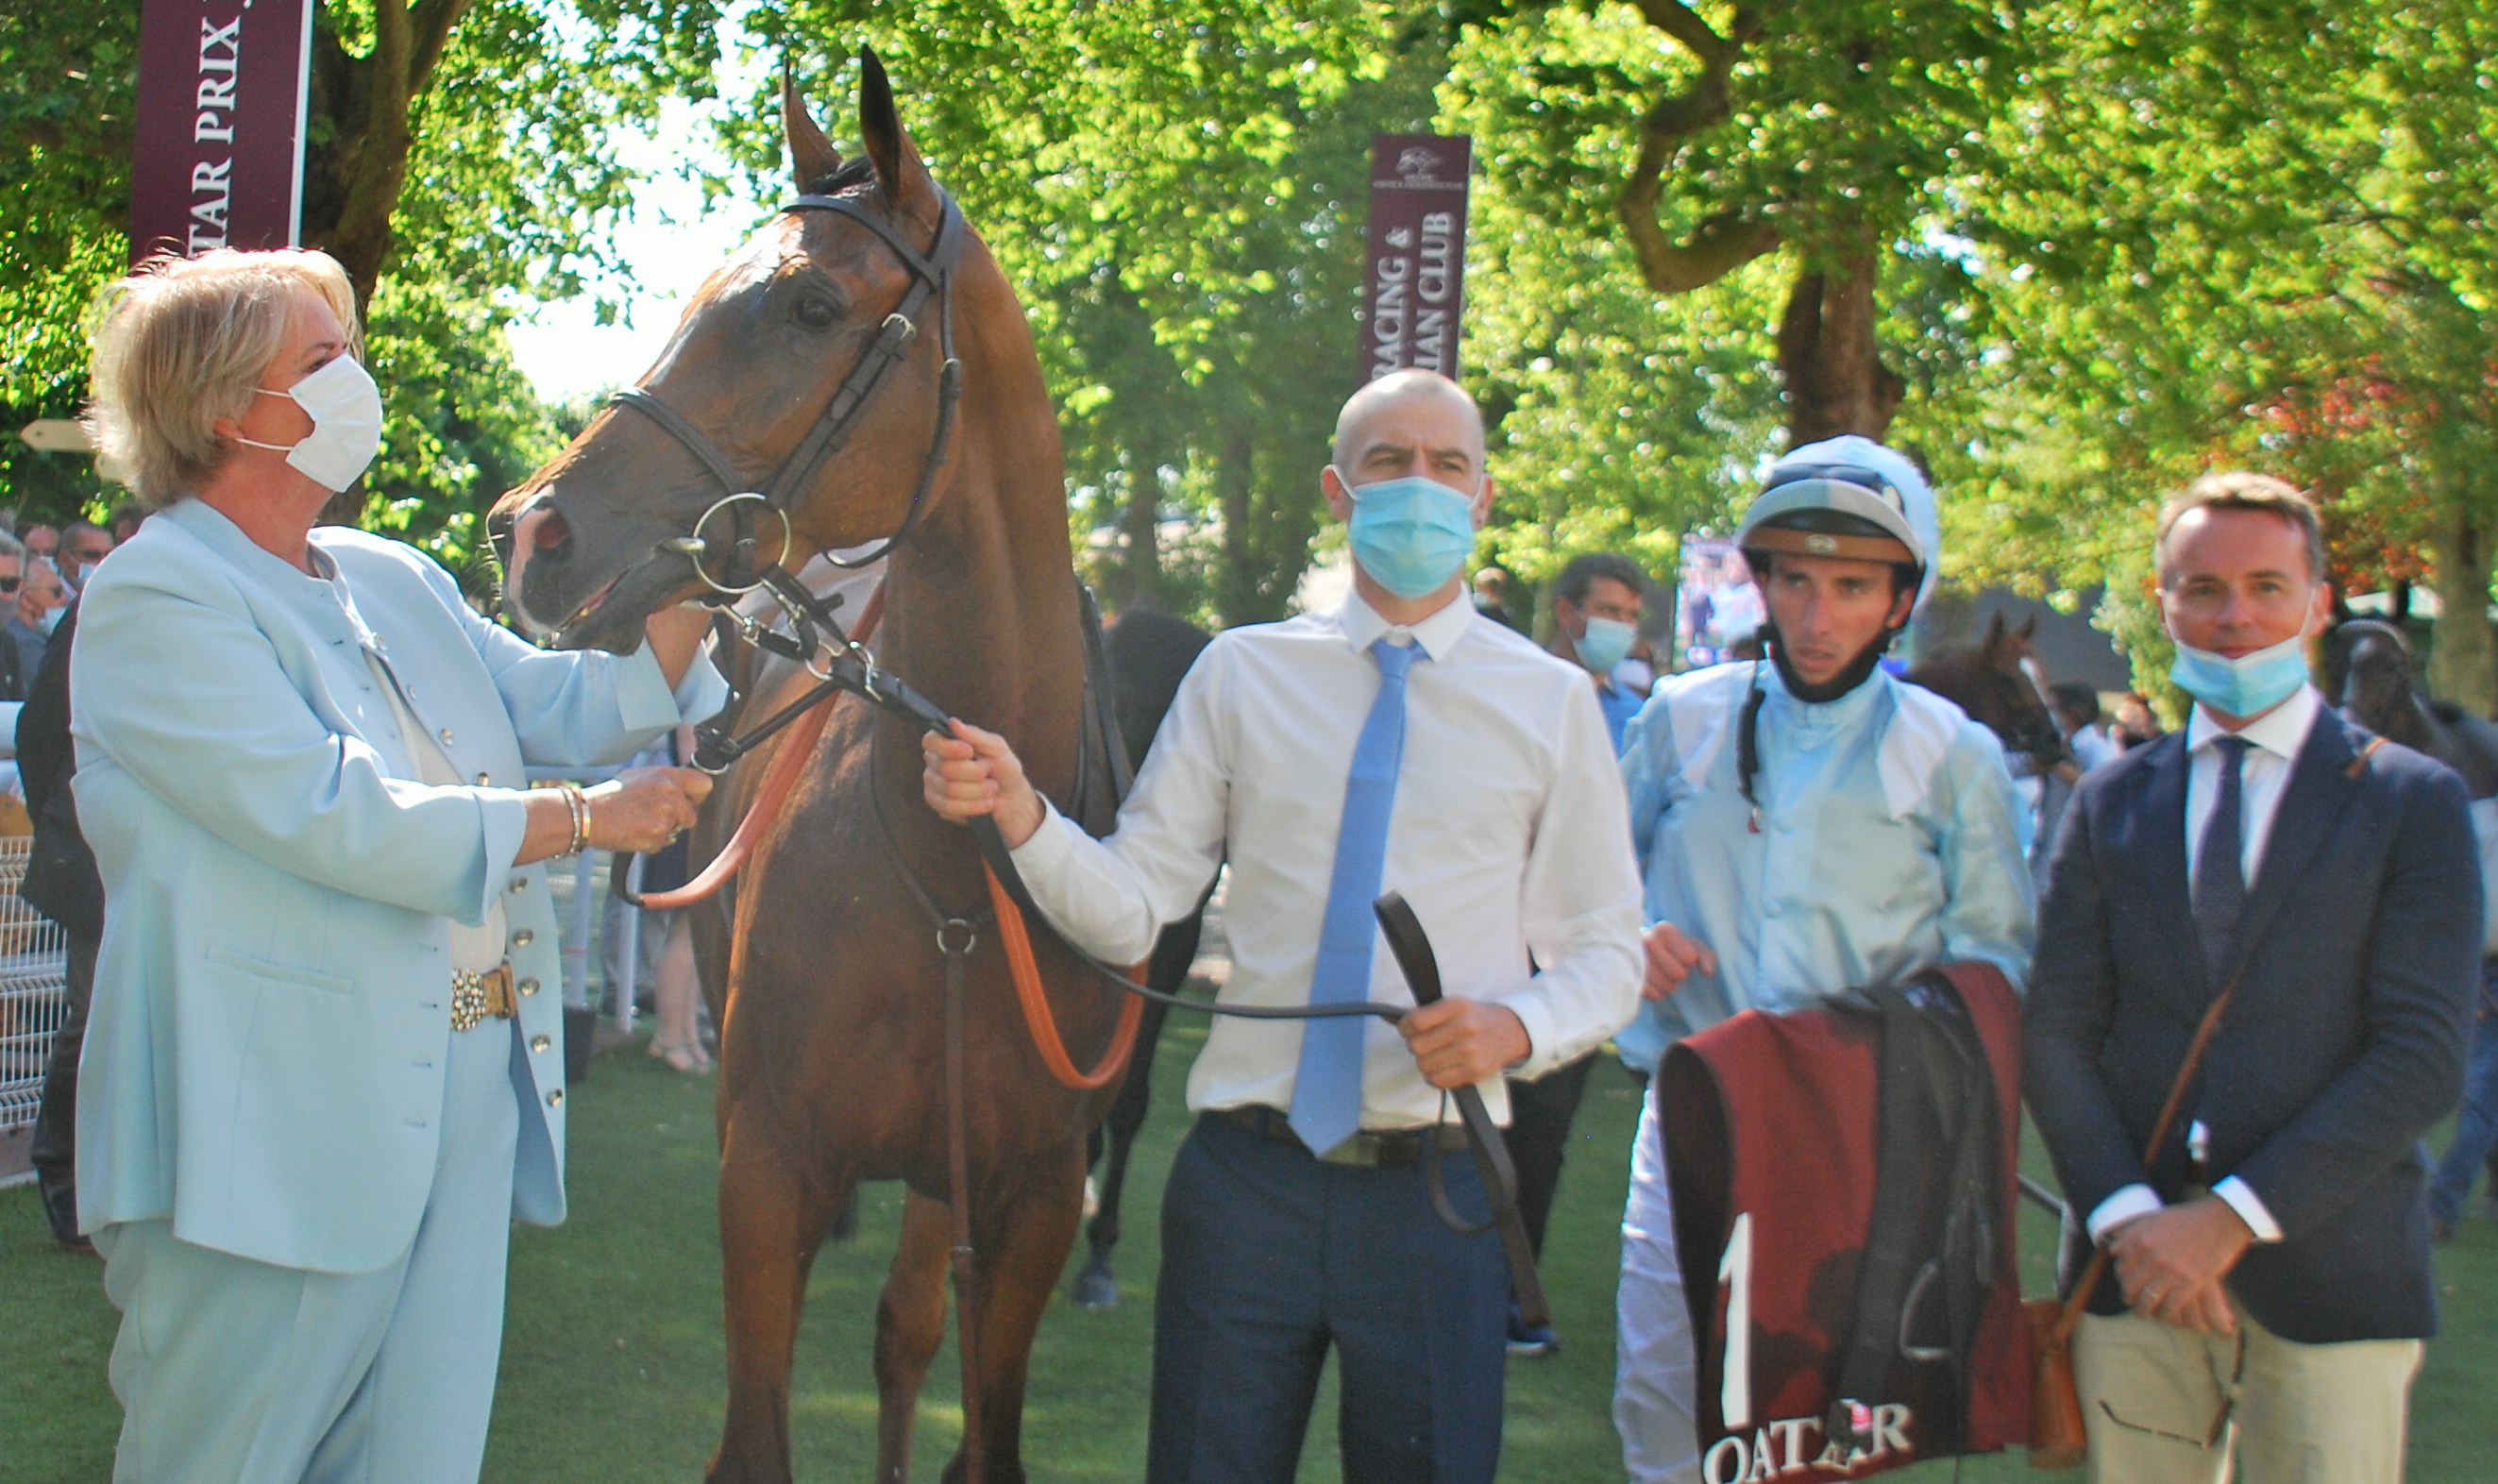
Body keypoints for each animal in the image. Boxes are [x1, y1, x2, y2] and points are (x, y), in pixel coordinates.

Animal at [492, 48, 1128, 1478]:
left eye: (812, 302)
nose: (530, 530)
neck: (957, 875)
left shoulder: (1030, 1198)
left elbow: (976, 1423)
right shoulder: (767, 1170)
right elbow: (757, 1439)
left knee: (904, 1331)